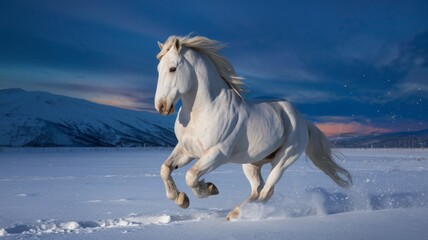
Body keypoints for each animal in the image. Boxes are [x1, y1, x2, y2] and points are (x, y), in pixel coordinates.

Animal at [154, 34, 352, 220]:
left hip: (284, 160)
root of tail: (303, 121)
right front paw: (181, 199)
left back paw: (236, 214)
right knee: (257, 189)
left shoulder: (218, 154)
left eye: (172, 68)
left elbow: (191, 176)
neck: (204, 110)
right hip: (251, 163)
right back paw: (236, 213)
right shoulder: (186, 150)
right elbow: (165, 169)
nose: (161, 106)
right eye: (158, 69)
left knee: (266, 192)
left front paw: (209, 189)